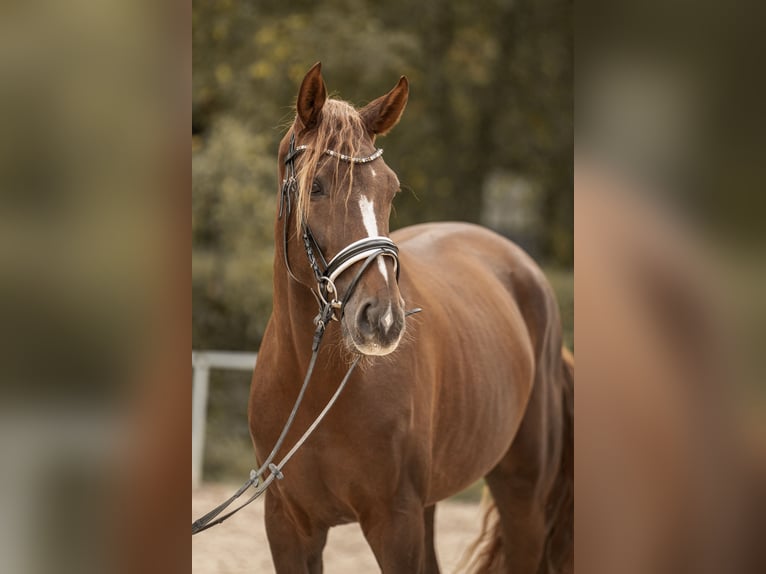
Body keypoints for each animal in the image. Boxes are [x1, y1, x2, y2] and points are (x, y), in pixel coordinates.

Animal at [248, 62, 573, 573]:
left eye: (390, 189)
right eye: (316, 186)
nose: (381, 319)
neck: (313, 386)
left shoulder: (394, 522)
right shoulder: (288, 527)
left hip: (522, 494)